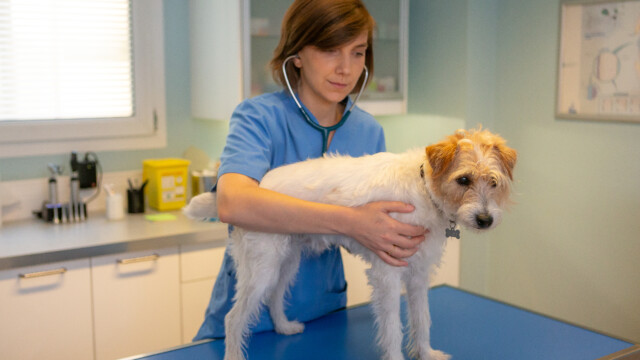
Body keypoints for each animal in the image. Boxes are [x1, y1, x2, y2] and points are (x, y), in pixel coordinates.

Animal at [184, 128, 516, 358]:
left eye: (494, 182)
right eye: (463, 180)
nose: (485, 219)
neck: (423, 188)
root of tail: (260, 185)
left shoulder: (419, 277)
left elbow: (422, 320)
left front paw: (426, 353)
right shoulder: (388, 275)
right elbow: (393, 328)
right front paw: (396, 357)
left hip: (286, 263)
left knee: (274, 298)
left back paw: (284, 327)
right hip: (261, 270)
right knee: (232, 319)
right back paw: (234, 355)